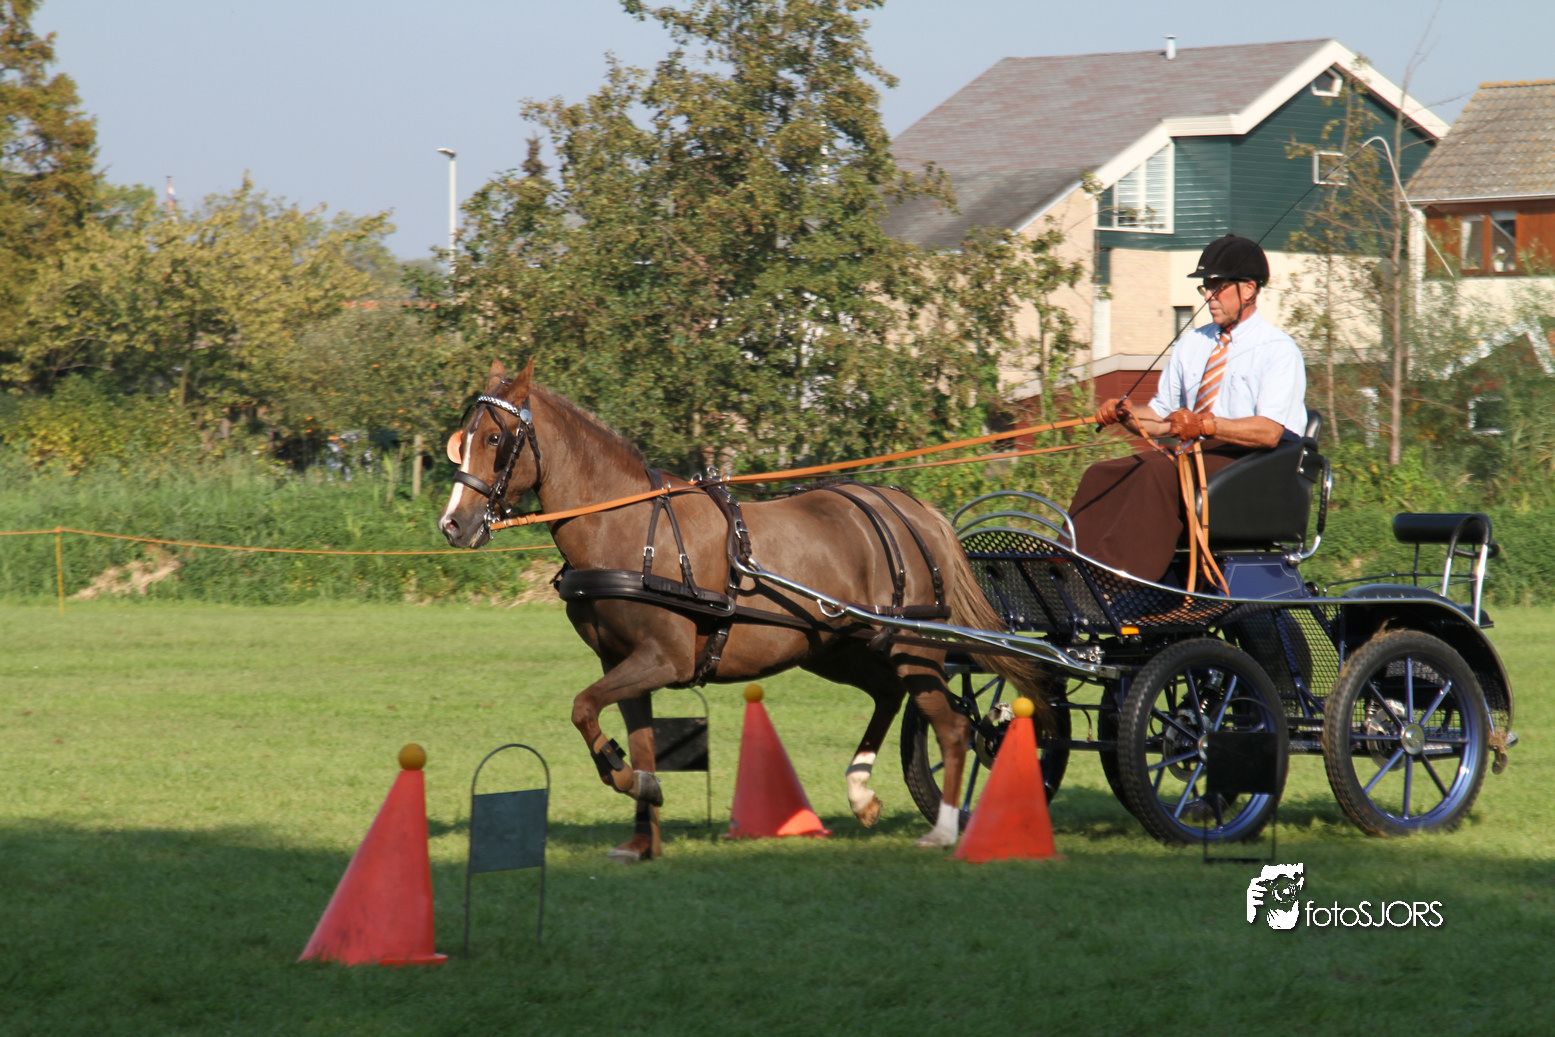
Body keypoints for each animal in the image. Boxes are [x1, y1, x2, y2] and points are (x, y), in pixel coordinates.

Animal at [438, 358, 1053, 860]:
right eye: (461, 439)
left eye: (494, 437)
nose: (453, 525)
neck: (628, 529)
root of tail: (914, 510)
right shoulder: (623, 663)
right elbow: (636, 740)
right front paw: (642, 829)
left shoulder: (663, 659)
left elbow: (584, 709)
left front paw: (627, 778)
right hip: (836, 648)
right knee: (888, 694)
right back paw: (861, 793)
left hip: (911, 644)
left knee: (952, 727)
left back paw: (946, 830)